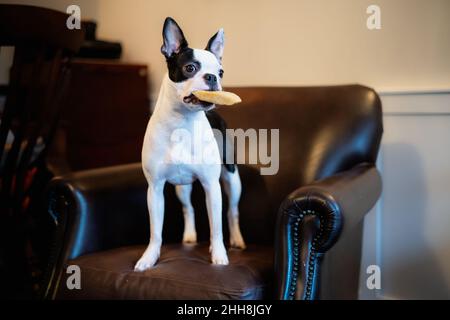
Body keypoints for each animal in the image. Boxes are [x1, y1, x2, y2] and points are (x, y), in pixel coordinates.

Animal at [134, 16, 246, 272]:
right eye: (190, 68)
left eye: (221, 71)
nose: (213, 77)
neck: (181, 122)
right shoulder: (155, 189)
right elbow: (156, 232)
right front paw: (149, 257)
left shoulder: (211, 186)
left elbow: (216, 228)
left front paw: (219, 255)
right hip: (181, 188)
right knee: (188, 208)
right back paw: (190, 235)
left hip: (231, 179)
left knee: (232, 212)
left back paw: (236, 240)